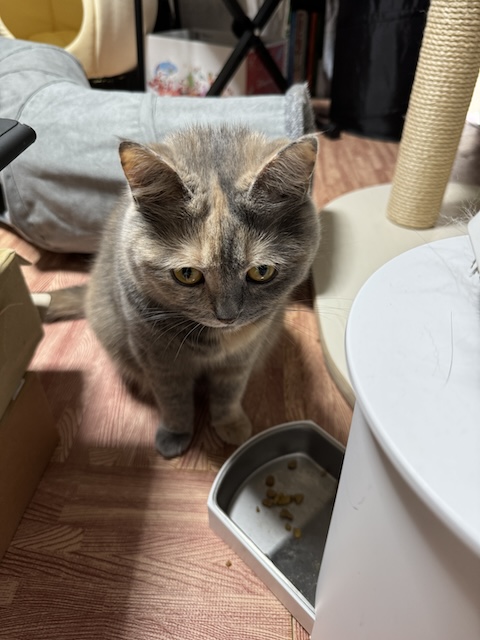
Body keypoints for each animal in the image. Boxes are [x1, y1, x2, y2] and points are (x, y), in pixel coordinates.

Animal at [46, 124, 321, 458]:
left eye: (261, 271)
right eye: (187, 274)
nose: (228, 316)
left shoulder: (244, 353)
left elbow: (229, 391)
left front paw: (231, 425)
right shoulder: (157, 357)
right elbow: (173, 399)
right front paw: (175, 435)